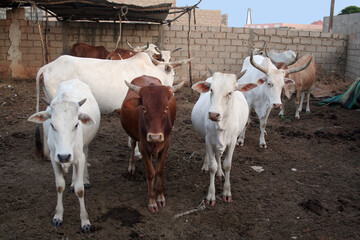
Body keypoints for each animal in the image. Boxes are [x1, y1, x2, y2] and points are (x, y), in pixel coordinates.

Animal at [27, 79, 101, 234]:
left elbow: (80, 190)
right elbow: (60, 186)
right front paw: (58, 216)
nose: (64, 156)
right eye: (52, 125)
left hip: (84, 147)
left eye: (76, 124)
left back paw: (84, 179)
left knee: (85, 155)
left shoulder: (79, 157)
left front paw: (85, 222)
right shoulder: (54, 159)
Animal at [120, 76, 184, 213]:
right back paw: (131, 166)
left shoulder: (165, 145)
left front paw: (160, 196)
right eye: (144, 108)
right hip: (134, 135)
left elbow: (159, 170)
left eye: (166, 108)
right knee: (133, 144)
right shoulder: (144, 147)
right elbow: (150, 173)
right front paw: (152, 201)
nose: (155, 136)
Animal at [193, 67, 258, 204]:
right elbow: (212, 166)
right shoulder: (209, 140)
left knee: (219, 156)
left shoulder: (232, 142)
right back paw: (206, 166)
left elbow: (227, 165)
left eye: (230, 93)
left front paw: (227, 192)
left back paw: (220, 173)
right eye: (211, 90)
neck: (221, 125)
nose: (213, 114)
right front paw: (211, 195)